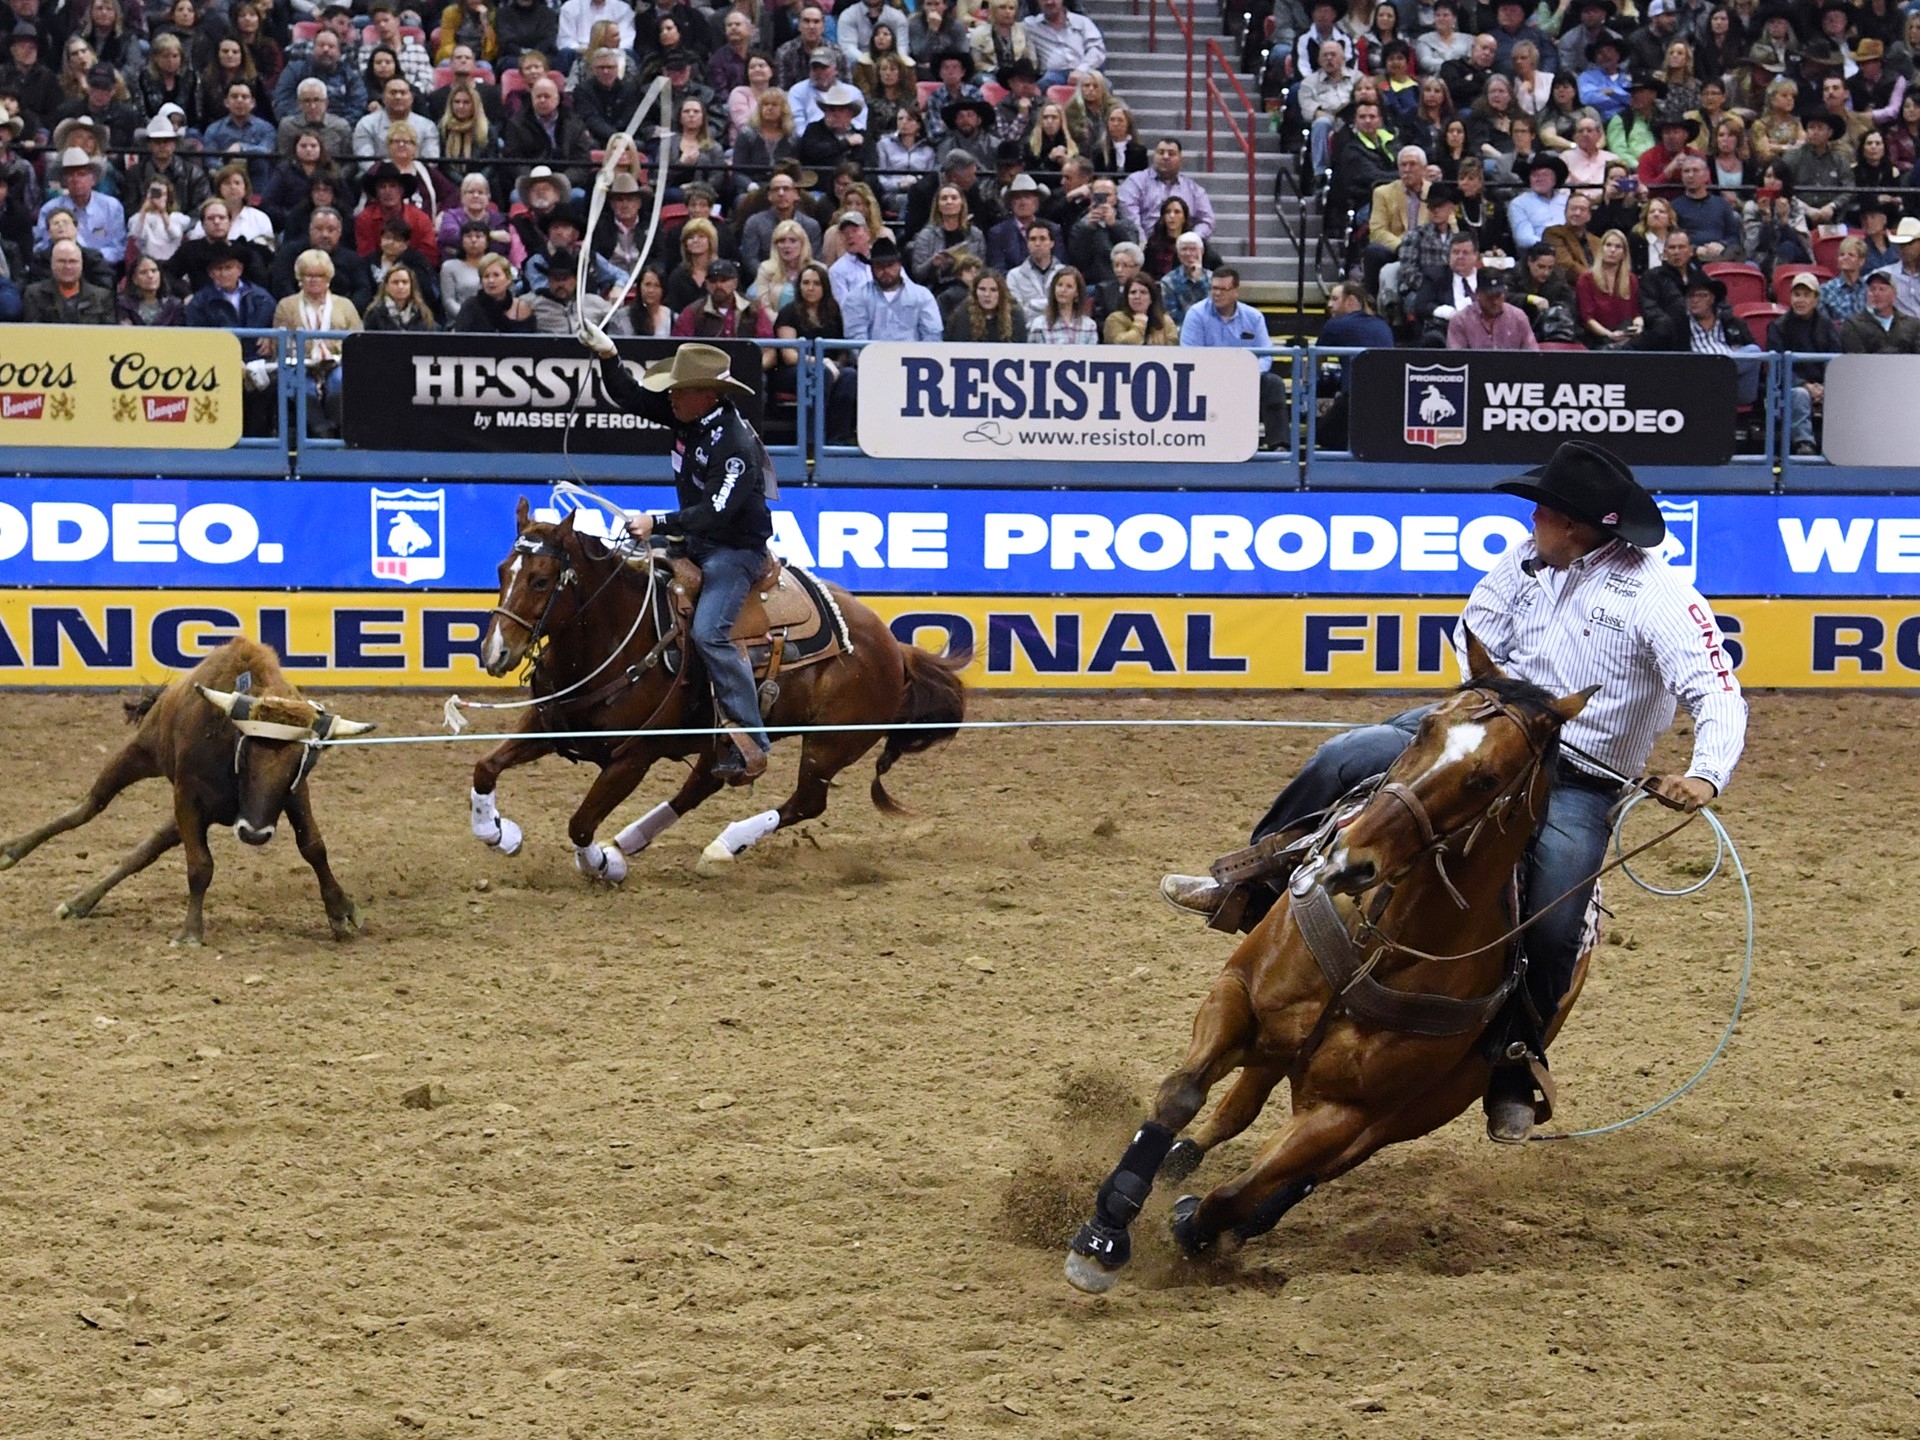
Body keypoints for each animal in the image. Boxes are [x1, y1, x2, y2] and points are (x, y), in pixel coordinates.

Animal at [468, 503, 975, 887]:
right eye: (501, 570)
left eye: (541, 579)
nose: (495, 652)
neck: (617, 639)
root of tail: (893, 647)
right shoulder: (547, 725)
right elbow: (485, 768)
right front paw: (498, 832)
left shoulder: (633, 757)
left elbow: (580, 823)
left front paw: (602, 866)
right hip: (731, 740)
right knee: (702, 785)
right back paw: (629, 840)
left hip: (831, 744)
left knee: (805, 802)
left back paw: (720, 847)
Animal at [1067, 641, 1589, 1297]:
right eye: (1427, 727)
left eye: (1486, 778)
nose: (1349, 859)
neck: (1381, 945)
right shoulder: (1238, 995)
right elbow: (1181, 1094)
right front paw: (1104, 1234)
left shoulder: (1349, 1113)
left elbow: (1239, 1194)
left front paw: (1194, 1229)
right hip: (1279, 1048)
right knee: (1236, 1110)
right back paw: (1180, 1162)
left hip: (1409, 1112)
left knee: (1300, 1175)